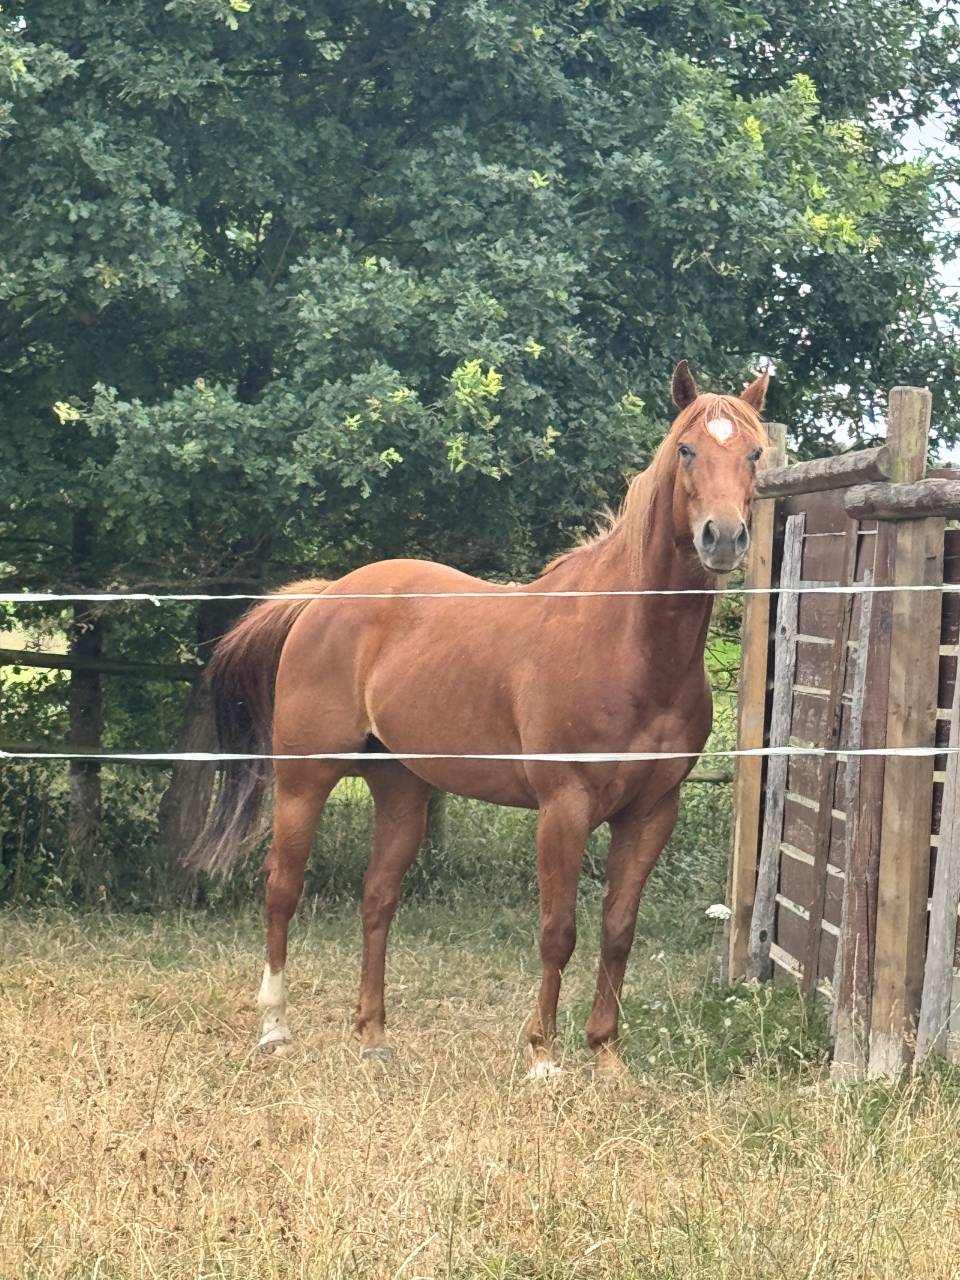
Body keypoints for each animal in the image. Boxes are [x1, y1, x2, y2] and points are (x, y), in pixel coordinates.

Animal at [187, 360, 769, 1077]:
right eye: (686, 450)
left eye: (755, 454)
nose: (724, 537)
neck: (625, 641)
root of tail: (324, 597)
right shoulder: (564, 807)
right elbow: (557, 930)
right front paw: (543, 1056)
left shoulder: (652, 813)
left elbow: (617, 931)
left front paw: (605, 1055)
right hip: (304, 781)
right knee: (281, 889)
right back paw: (274, 1027)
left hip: (401, 789)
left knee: (377, 899)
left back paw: (374, 1037)